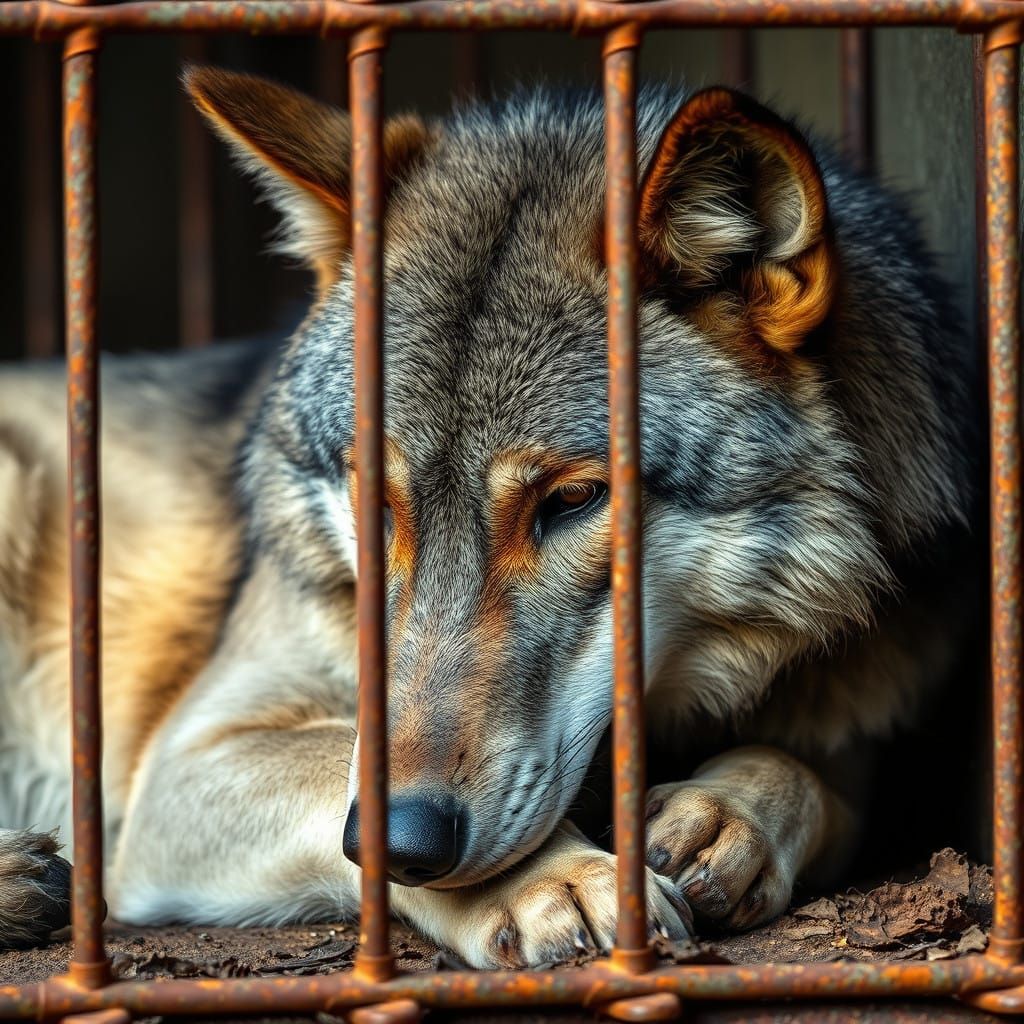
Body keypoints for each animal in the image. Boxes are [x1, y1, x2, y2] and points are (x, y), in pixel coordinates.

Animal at [0, 67, 977, 968]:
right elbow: (339, 767)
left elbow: (815, 780)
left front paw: (729, 817)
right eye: (374, 500)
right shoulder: (186, 764)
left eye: (571, 500)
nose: (404, 839)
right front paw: (556, 882)